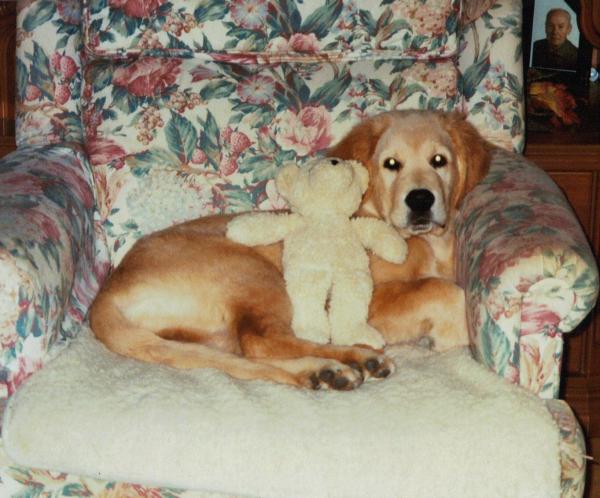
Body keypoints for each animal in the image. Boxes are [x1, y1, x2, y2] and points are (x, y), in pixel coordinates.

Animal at [89, 110, 491, 391]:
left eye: (440, 161)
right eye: (391, 164)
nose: (421, 200)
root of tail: (105, 295)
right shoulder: (363, 298)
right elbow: (442, 290)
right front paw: (451, 332)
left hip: (209, 333)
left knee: (242, 354)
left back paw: (323, 372)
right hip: (253, 272)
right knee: (263, 341)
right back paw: (356, 359)